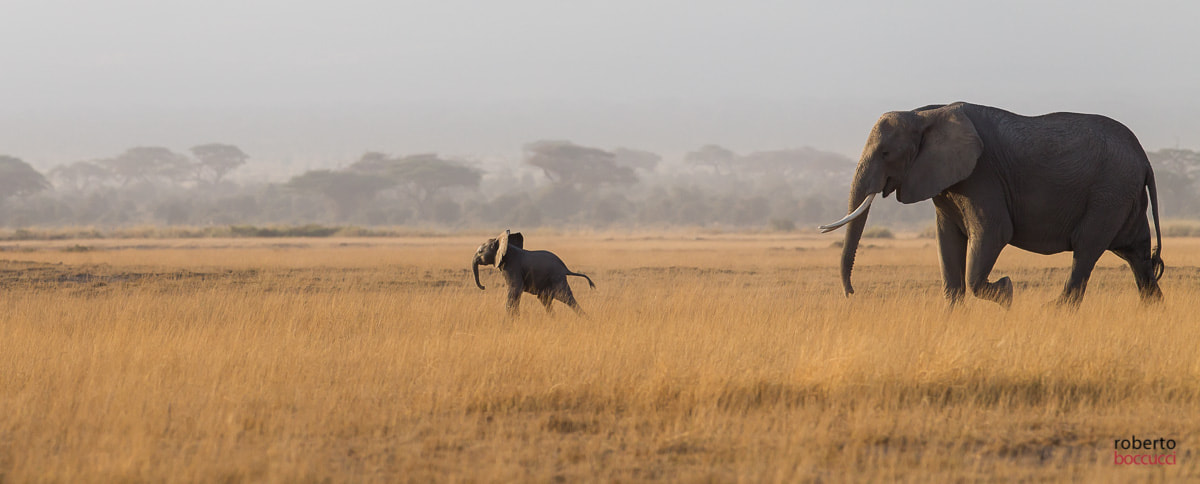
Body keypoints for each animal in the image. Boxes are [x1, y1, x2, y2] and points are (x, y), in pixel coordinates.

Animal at [819, 102, 1163, 308]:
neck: (926, 112)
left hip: (1109, 193)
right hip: (1124, 196)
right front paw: (952, 316)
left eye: (886, 154)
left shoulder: (982, 176)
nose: (852, 295)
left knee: (1087, 250)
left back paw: (1054, 310)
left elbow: (993, 232)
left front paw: (1007, 292)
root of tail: (1145, 159)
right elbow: (947, 242)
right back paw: (1153, 309)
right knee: (1137, 255)